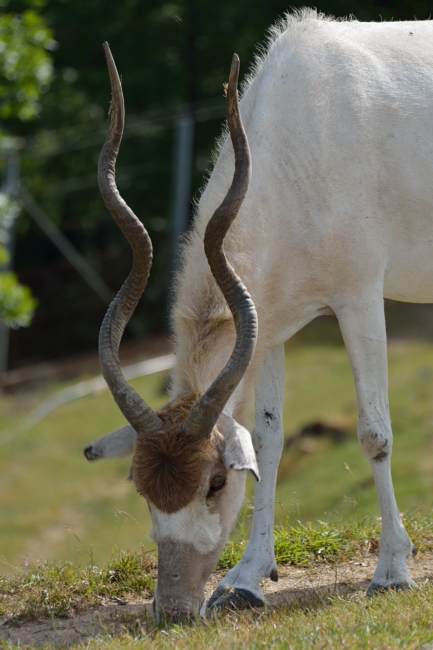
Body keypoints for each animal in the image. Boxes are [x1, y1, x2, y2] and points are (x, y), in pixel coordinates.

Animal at [85, 7, 432, 616]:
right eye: (141, 486)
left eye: (215, 483)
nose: (173, 609)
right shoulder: (270, 324)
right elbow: (268, 440)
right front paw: (246, 579)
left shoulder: (360, 298)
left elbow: (375, 432)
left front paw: (391, 571)